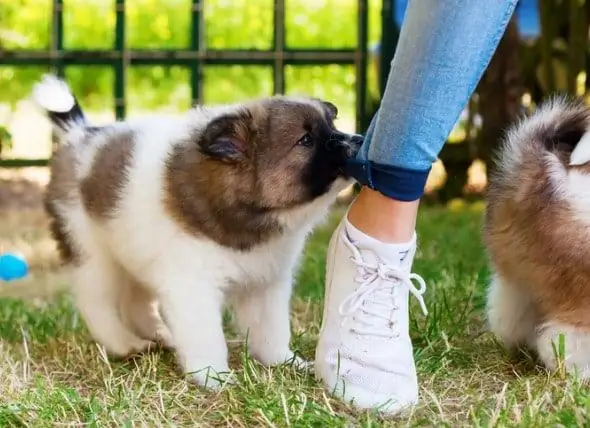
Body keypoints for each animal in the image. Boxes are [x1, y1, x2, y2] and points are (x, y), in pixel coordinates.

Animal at [34, 73, 364, 388]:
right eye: (306, 140)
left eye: (332, 125)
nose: (359, 140)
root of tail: (79, 135)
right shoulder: (192, 287)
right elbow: (206, 336)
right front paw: (213, 377)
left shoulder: (264, 284)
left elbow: (270, 329)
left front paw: (282, 361)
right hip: (93, 254)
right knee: (96, 303)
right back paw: (124, 343)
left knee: (136, 302)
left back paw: (160, 334)